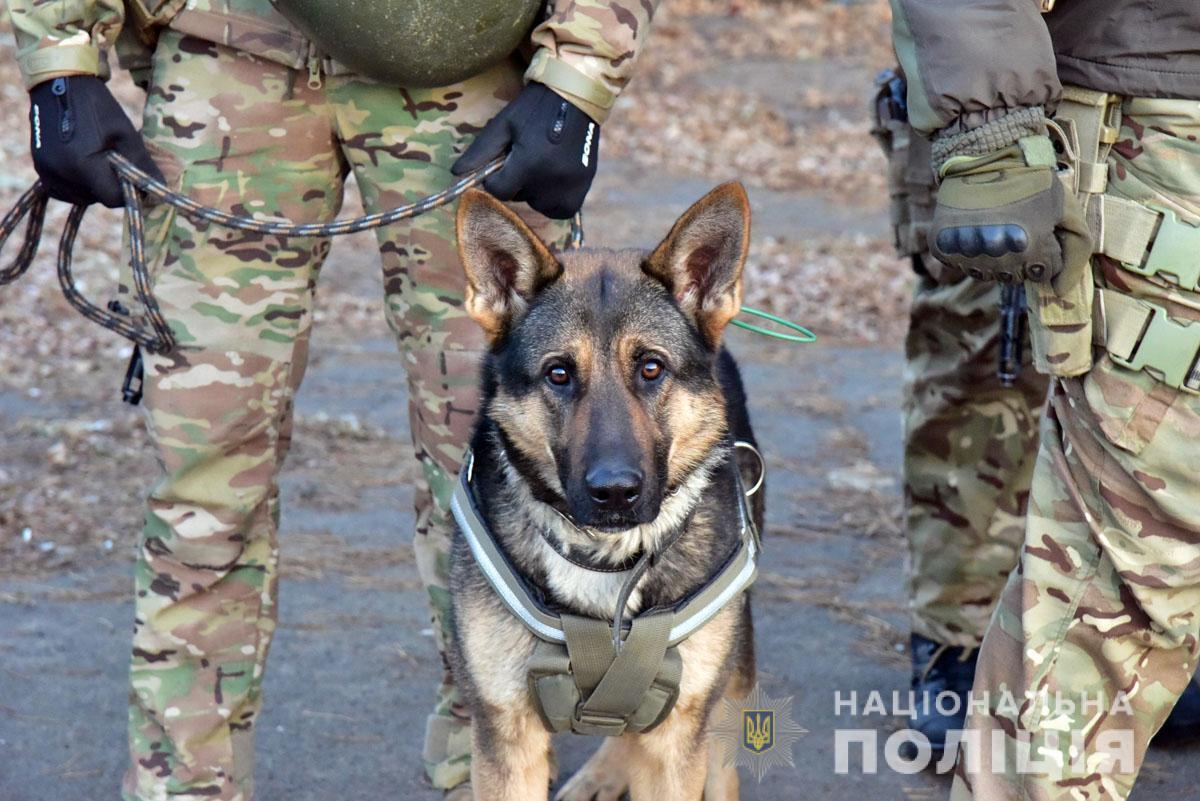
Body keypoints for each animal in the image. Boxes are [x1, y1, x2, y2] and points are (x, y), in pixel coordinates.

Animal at [446, 183, 763, 801]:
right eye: (559, 374)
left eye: (651, 368)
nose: (614, 492)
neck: (604, 560)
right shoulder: (505, 737)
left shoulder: (678, 742)